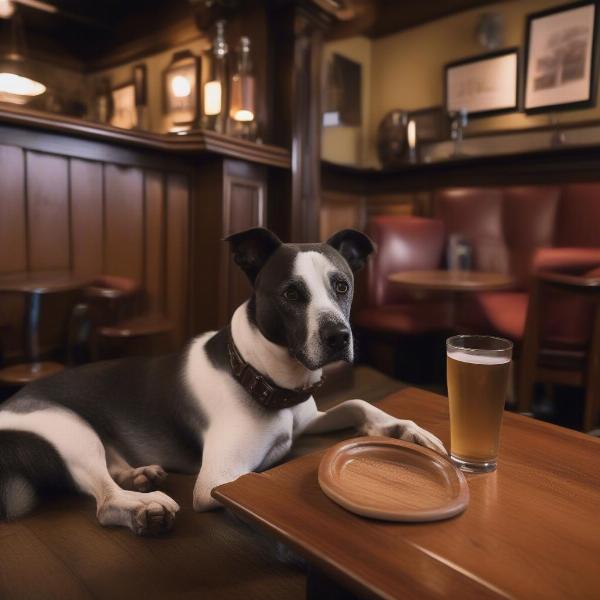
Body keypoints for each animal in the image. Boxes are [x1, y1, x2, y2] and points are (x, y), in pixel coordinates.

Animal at [0, 229, 446, 536]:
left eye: (342, 285)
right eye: (291, 294)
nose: (339, 337)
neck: (259, 375)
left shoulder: (308, 417)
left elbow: (358, 404)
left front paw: (408, 431)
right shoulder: (216, 480)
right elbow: (261, 479)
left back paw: (139, 476)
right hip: (70, 430)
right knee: (104, 499)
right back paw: (141, 507)